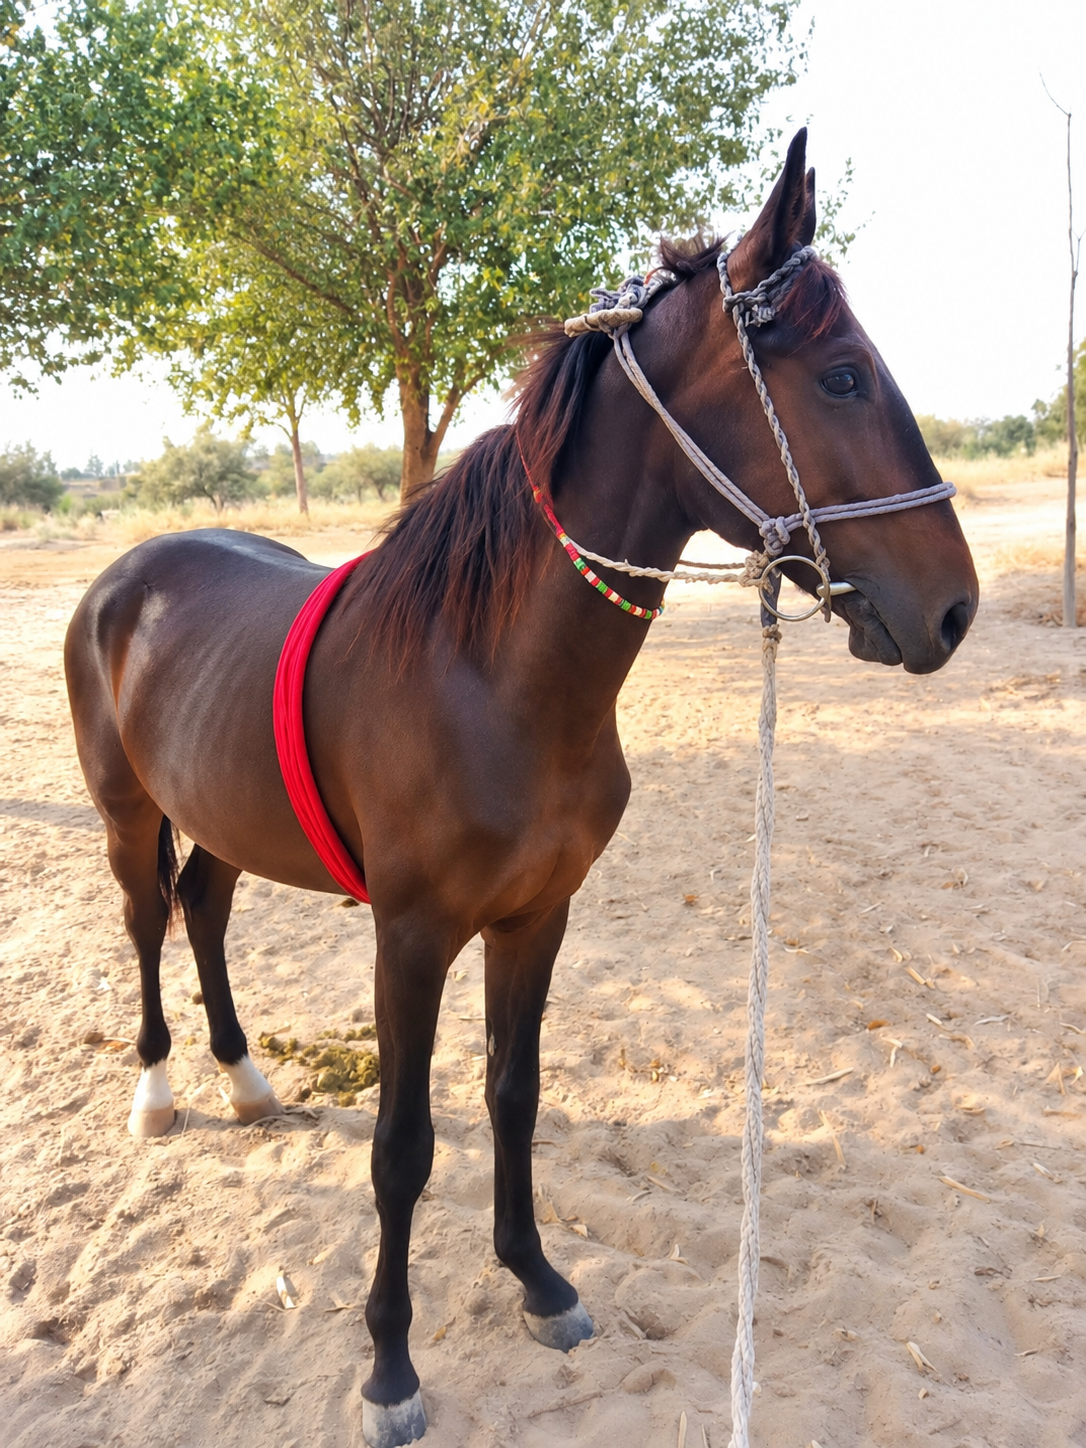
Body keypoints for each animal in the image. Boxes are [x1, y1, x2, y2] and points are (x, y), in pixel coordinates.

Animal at [64, 131, 978, 1448]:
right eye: (846, 376)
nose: (953, 609)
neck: (489, 673)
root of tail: (126, 573)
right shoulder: (409, 936)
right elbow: (401, 1146)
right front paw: (389, 1367)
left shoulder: (536, 916)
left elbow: (515, 1093)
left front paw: (538, 1279)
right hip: (127, 810)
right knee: (146, 919)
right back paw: (158, 1093)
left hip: (225, 814)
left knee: (206, 905)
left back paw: (244, 1079)